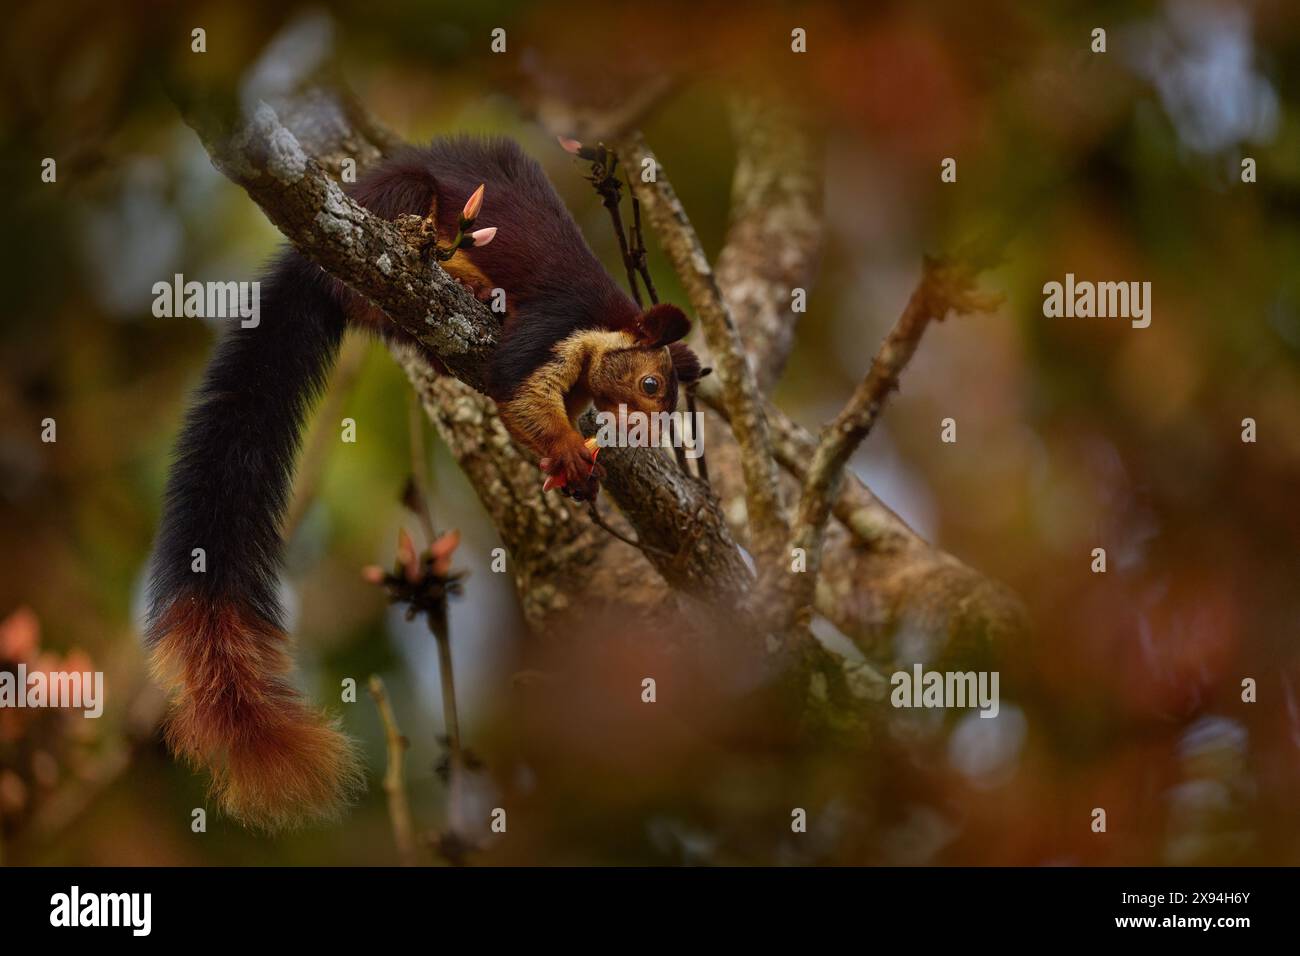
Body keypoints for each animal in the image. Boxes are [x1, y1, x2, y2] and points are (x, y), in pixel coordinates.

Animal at [144, 136, 702, 832]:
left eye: (672, 401)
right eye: (650, 386)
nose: (649, 434)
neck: (606, 326)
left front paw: (578, 474)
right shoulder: (555, 326)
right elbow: (518, 391)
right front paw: (572, 454)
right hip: (396, 215)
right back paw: (461, 278)